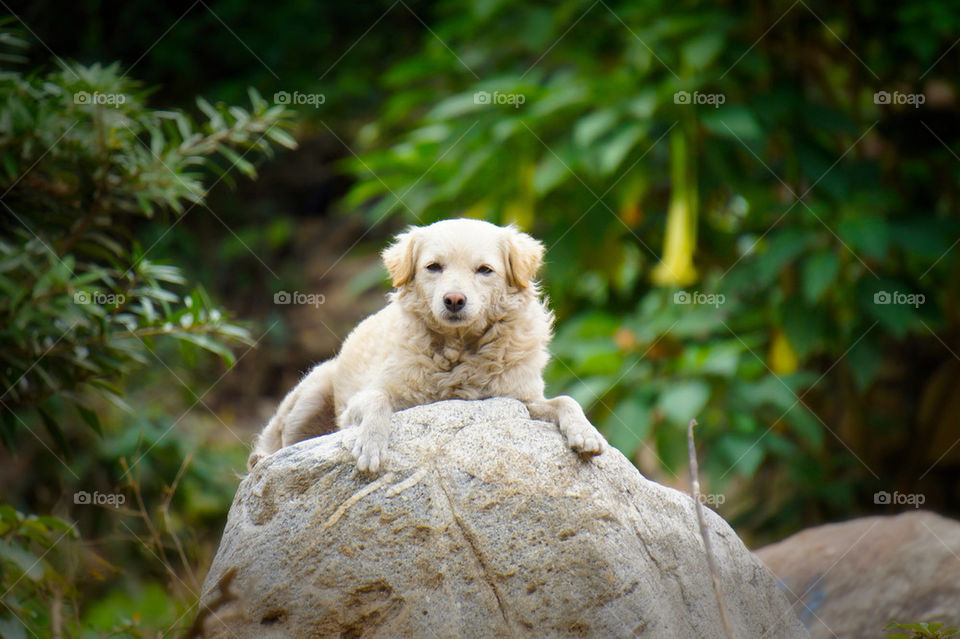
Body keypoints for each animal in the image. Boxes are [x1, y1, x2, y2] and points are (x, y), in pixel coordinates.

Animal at [249, 218, 608, 472]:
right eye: (434, 267)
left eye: (485, 270)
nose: (454, 300)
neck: (458, 352)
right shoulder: (360, 404)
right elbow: (378, 400)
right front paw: (371, 444)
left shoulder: (521, 400)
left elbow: (565, 400)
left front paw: (586, 432)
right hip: (311, 394)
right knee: (277, 448)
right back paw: (262, 459)